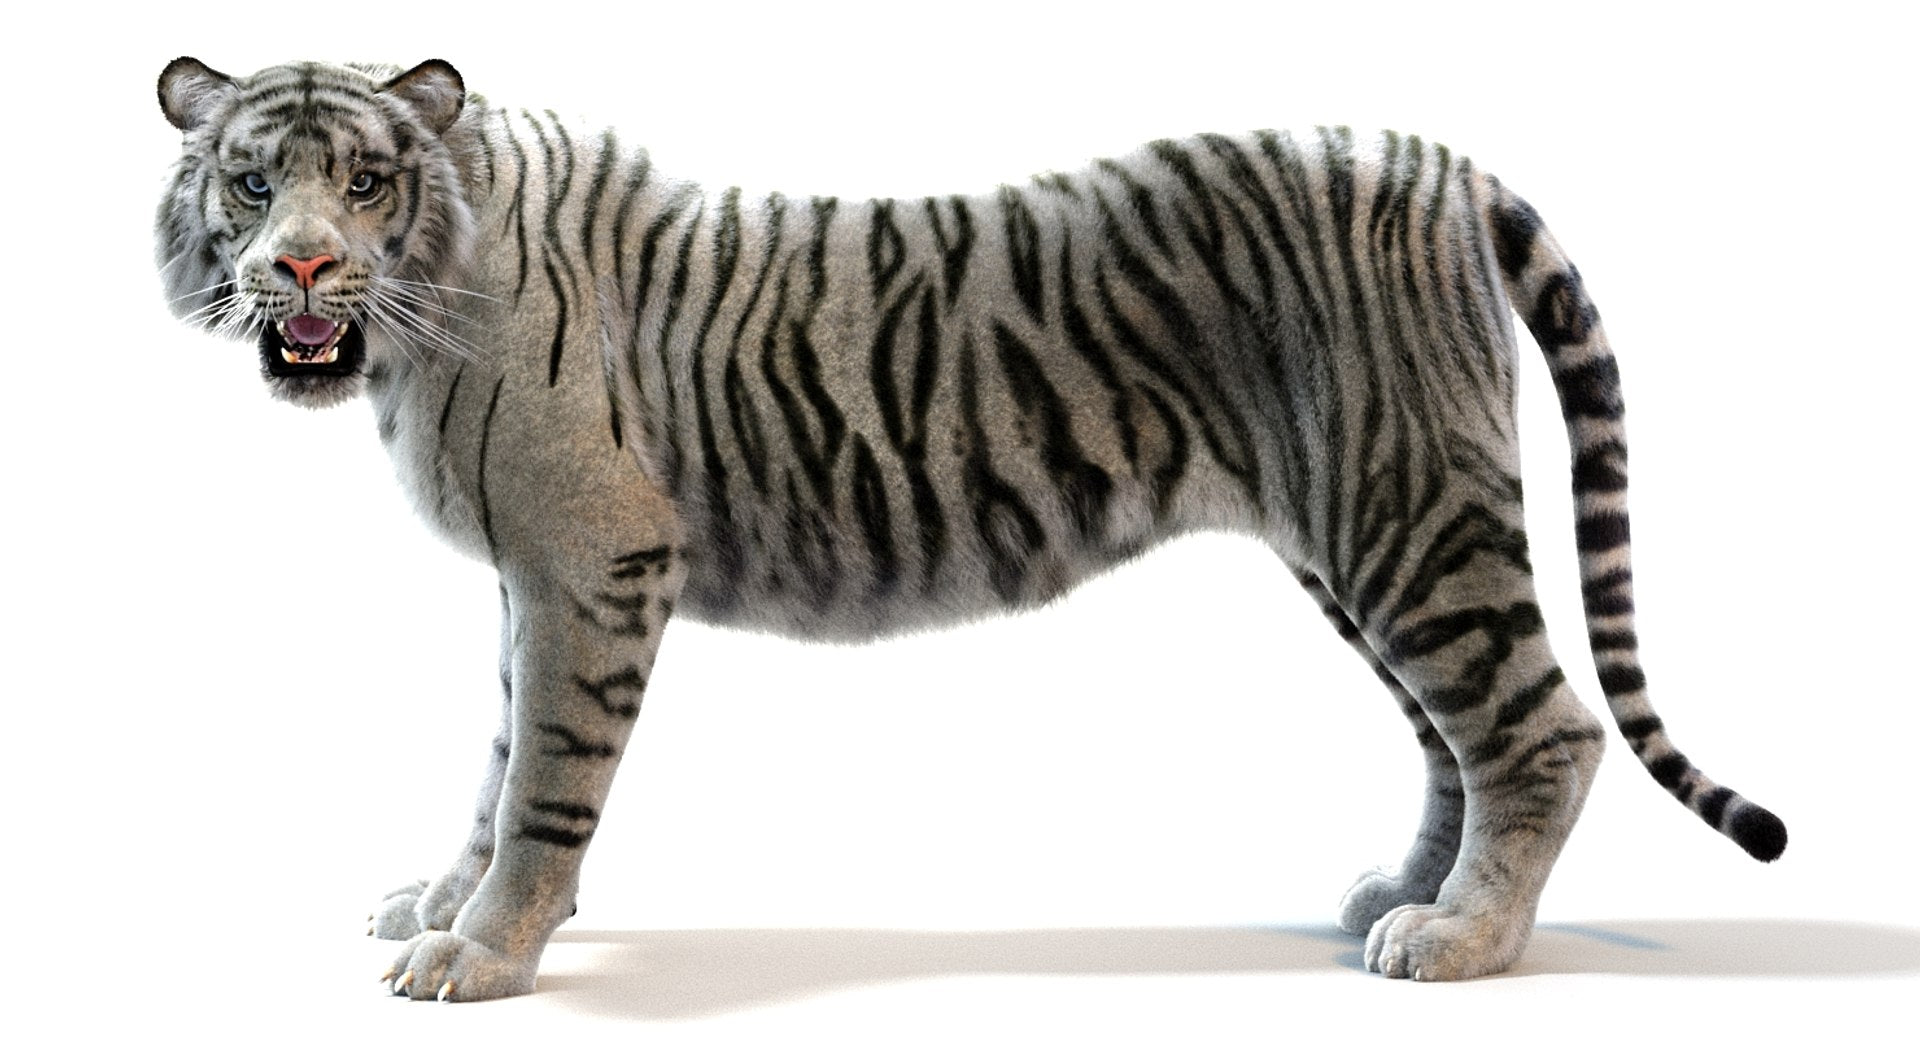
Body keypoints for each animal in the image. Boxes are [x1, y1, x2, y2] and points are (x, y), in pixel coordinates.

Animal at [154, 56, 1786, 1001]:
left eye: (364, 180)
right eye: (254, 178)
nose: (304, 265)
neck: (422, 311)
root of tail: (1438, 162)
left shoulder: (592, 565)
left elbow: (547, 773)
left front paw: (484, 949)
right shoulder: (530, 579)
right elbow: (497, 755)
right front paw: (442, 897)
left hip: (1412, 512)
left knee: (1539, 726)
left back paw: (1465, 940)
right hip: (1357, 535)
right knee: (1453, 731)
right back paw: (1406, 896)